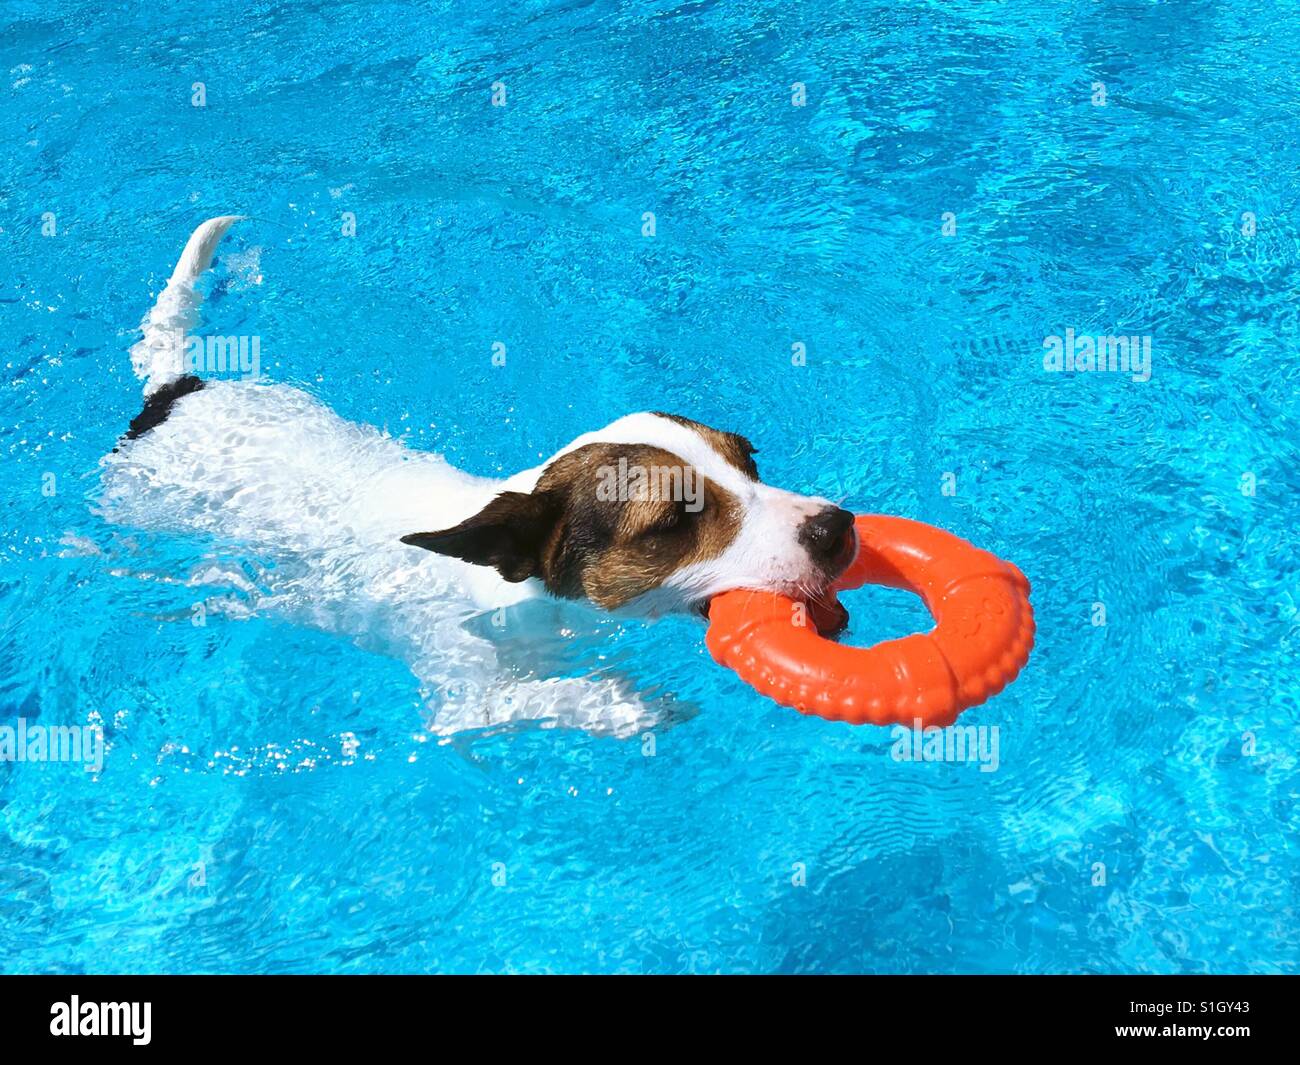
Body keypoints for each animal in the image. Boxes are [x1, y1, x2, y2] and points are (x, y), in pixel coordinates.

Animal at [98, 217, 852, 733]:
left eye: (748, 458)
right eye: (674, 520)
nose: (839, 528)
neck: (521, 591)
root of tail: (176, 393)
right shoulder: (464, 696)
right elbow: (548, 700)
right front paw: (634, 705)